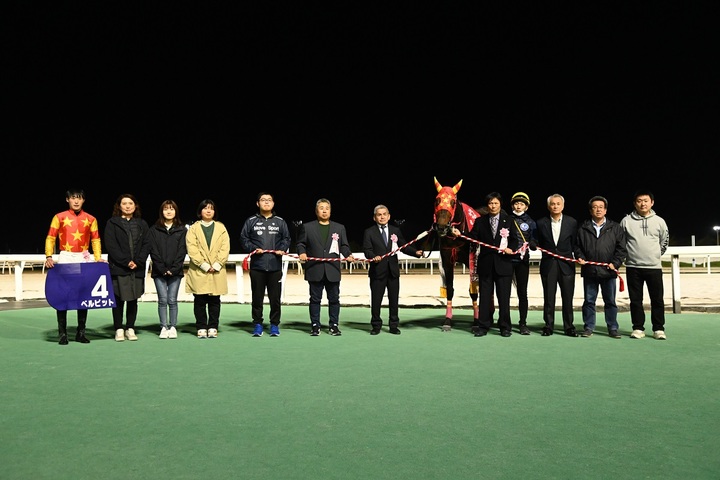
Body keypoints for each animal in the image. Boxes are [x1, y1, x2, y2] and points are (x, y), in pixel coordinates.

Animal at [421, 177, 482, 331]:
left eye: (453, 202)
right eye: (437, 200)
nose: (441, 227)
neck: (457, 237)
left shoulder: (472, 260)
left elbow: (474, 291)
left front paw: (477, 321)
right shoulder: (447, 260)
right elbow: (449, 289)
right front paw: (447, 320)